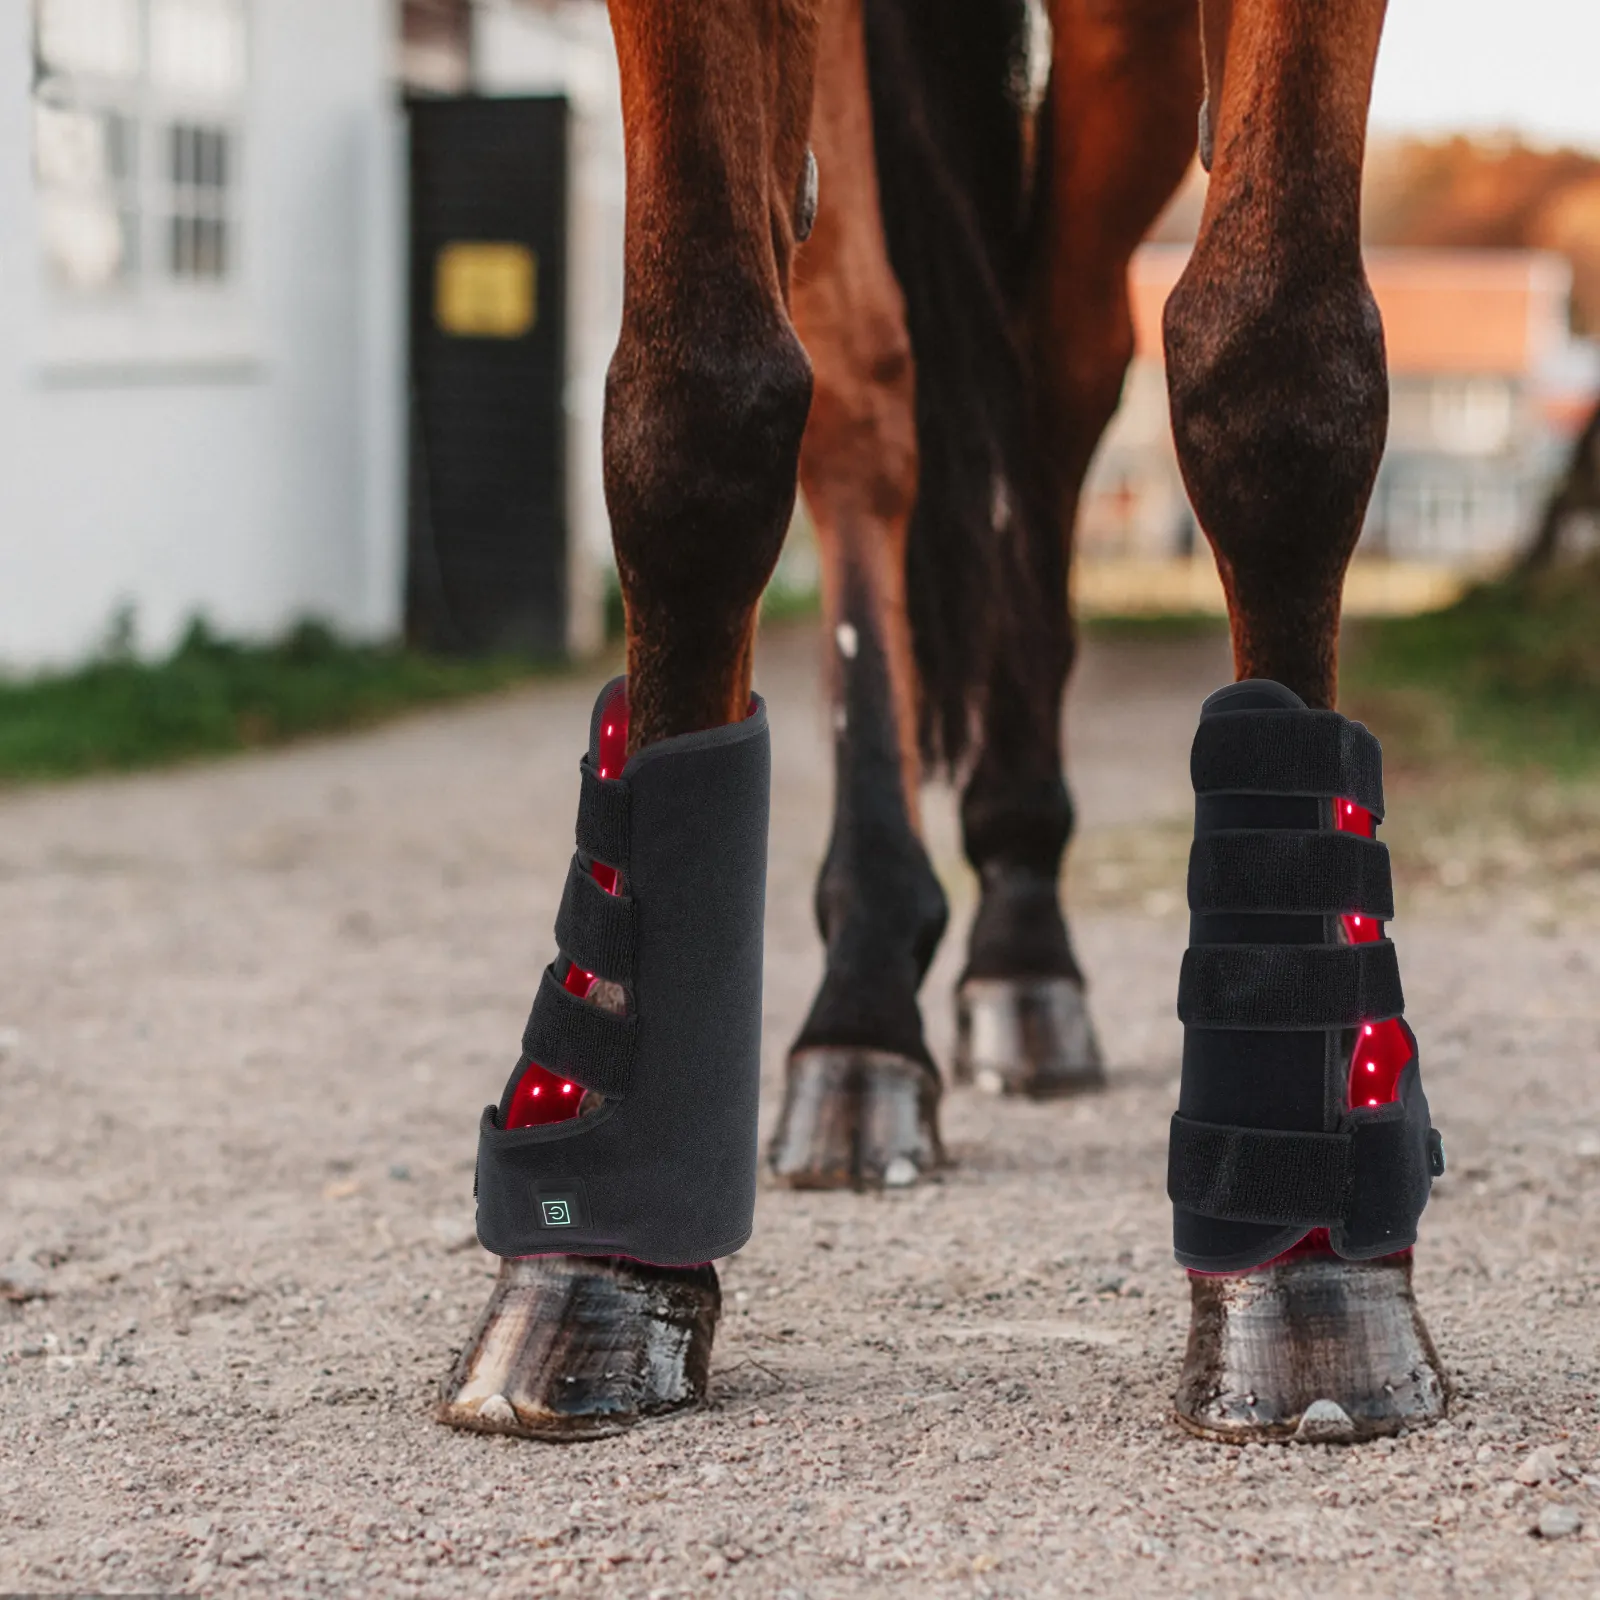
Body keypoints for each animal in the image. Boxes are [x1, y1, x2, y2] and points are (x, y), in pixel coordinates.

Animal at [438, 0, 1452, 1452]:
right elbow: (694, 407)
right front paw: (599, 1263)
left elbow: (1277, 371)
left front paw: (1311, 1276)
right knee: (872, 394)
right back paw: (864, 1007)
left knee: (1058, 365)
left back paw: (1021, 935)